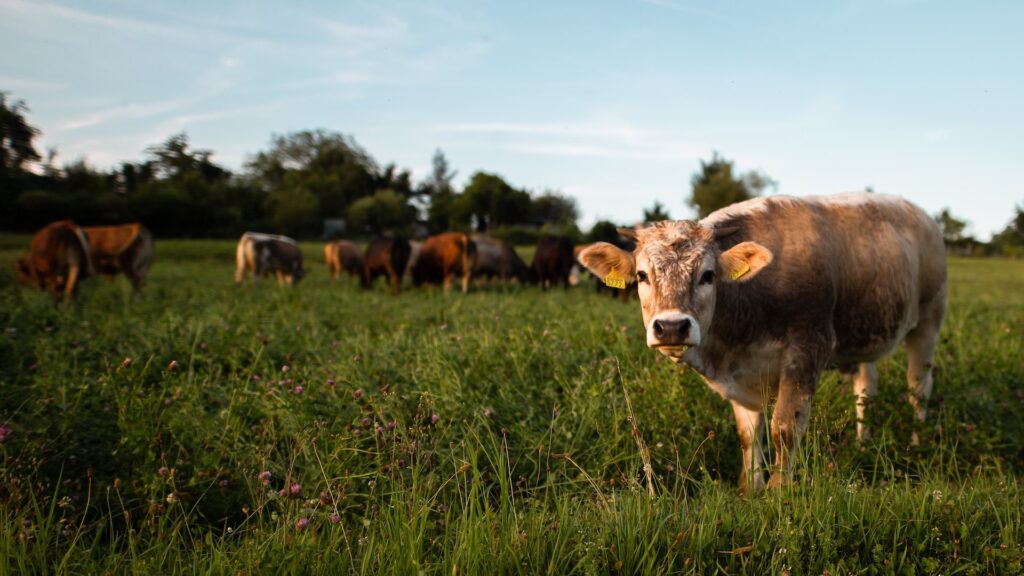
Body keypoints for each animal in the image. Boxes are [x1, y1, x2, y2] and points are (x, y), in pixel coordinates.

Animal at [581, 192, 946, 494]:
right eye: (642, 276)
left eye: (708, 275)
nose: (671, 327)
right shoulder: (741, 374)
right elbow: (748, 433)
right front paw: (750, 488)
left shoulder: (808, 348)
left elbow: (784, 427)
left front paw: (777, 491)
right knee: (866, 388)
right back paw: (862, 443)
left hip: (928, 321)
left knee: (919, 386)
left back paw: (918, 442)